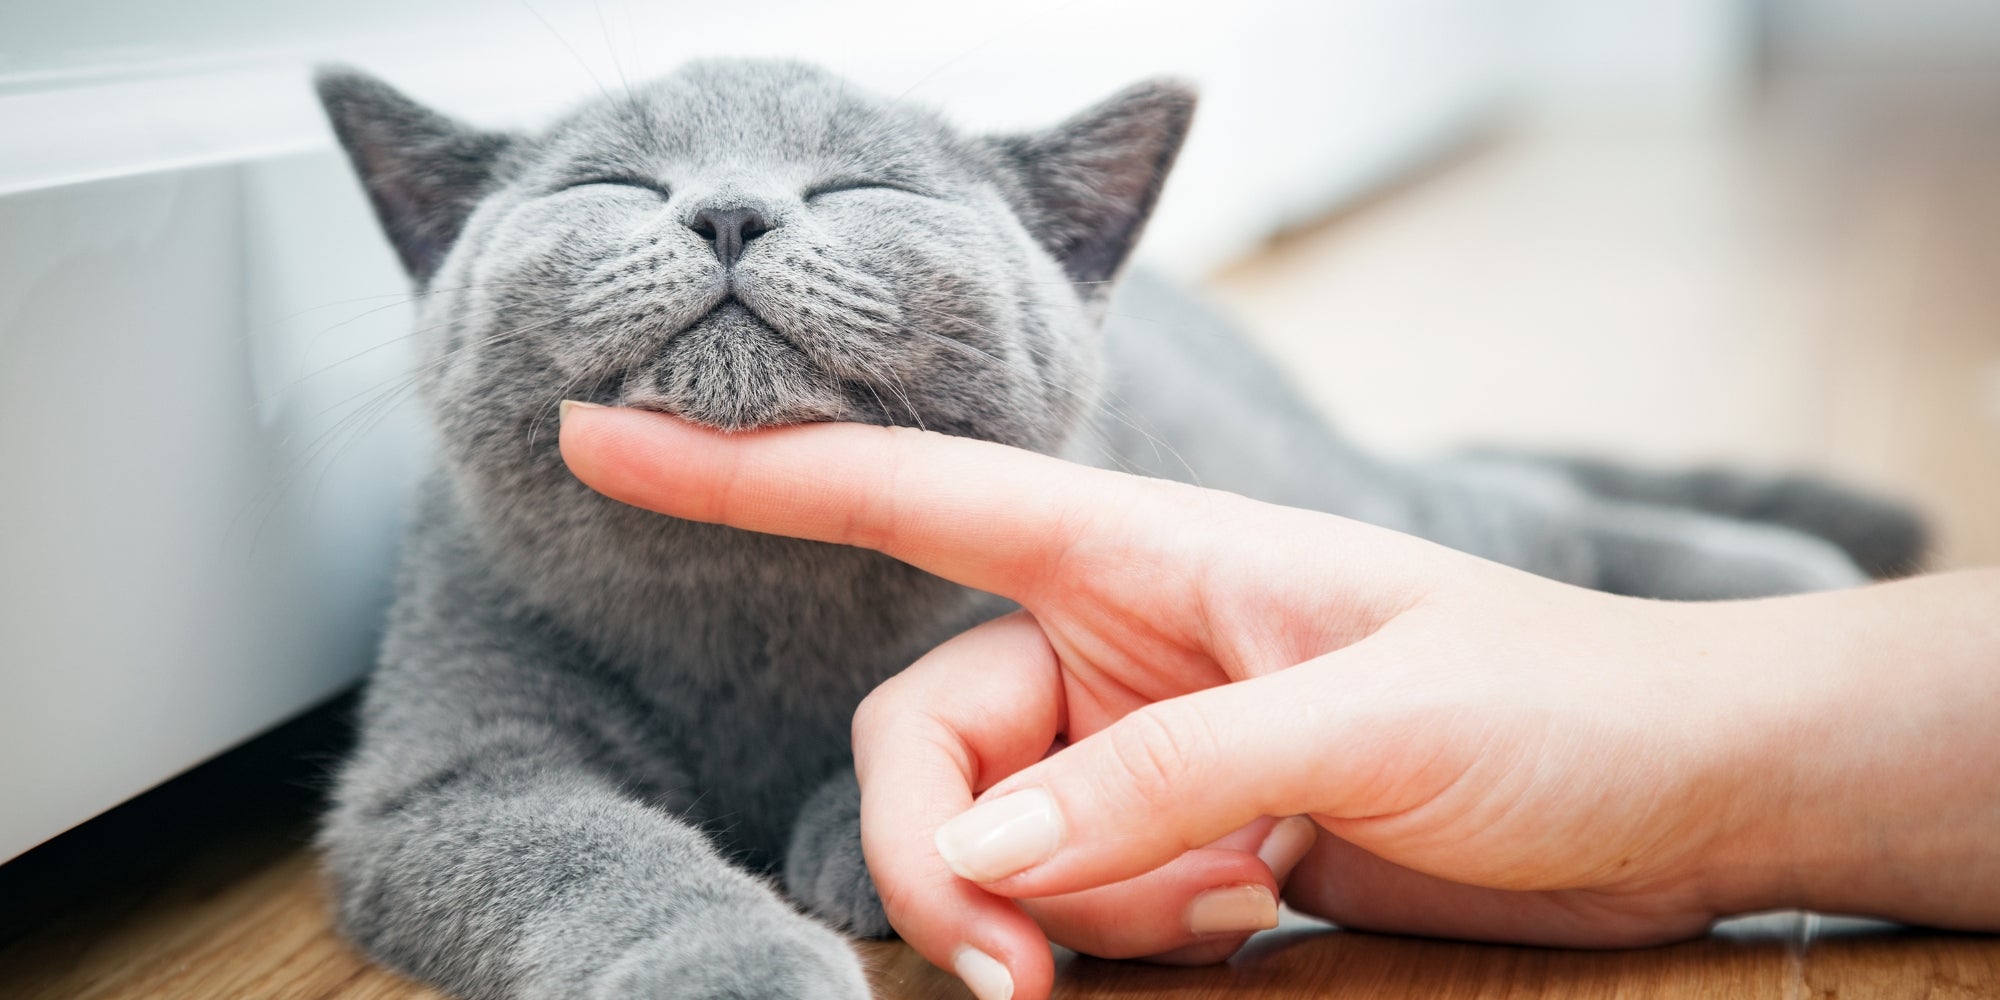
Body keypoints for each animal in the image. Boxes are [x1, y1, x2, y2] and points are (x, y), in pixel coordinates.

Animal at [312, 58, 1920, 996]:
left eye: (861, 184)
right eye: (611, 184)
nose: (727, 213)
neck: (749, 599)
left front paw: (862, 840)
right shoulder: (447, 765)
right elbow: (589, 852)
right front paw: (736, 964)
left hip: (1322, 494)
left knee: (1513, 513)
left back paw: (1785, 575)